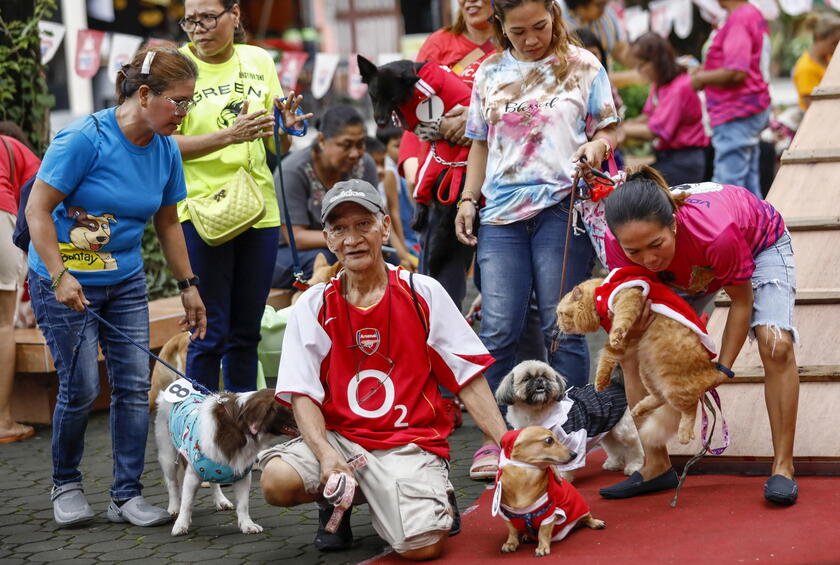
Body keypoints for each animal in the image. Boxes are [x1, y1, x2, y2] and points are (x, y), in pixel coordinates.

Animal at [154, 368, 298, 536]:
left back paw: (220, 500)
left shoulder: (242, 473)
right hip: (167, 455)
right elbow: (187, 502)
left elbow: (243, 504)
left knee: (213, 482)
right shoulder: (193, 473)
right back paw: (173, 508)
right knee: (172, 484)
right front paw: (181, 524)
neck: (238, 426)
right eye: (289, 406)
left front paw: (247, 524)